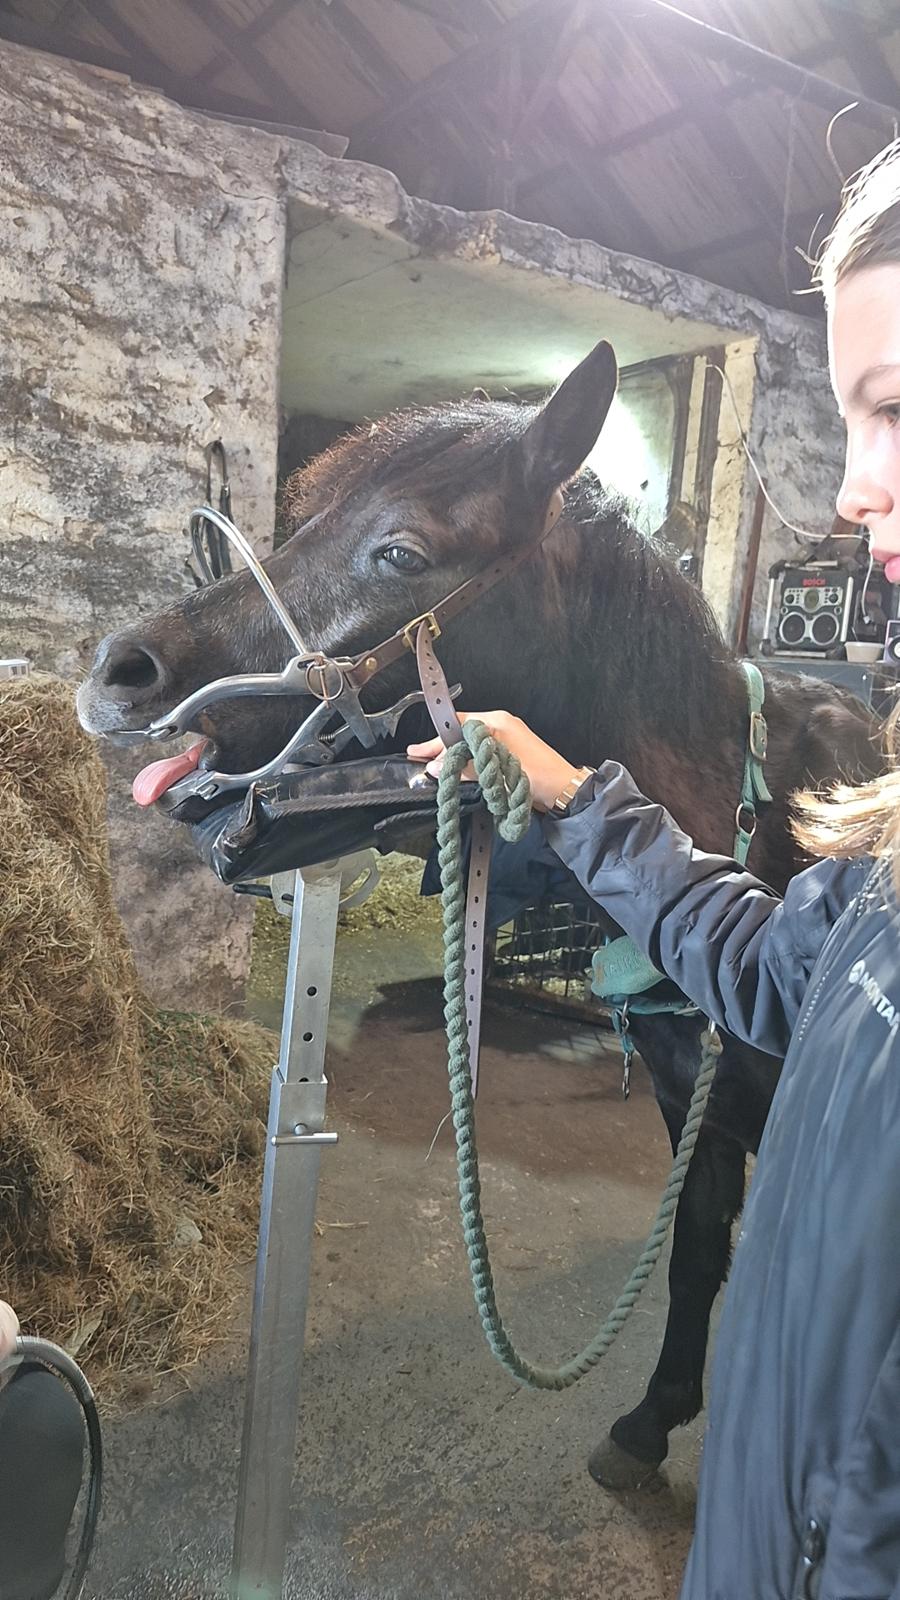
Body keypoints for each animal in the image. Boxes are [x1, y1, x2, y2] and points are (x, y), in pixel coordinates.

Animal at [78, 340, 880, 1487]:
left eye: (400, 551)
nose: (119, 671)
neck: (758, 836)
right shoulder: (693, 1100)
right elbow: (693, 1253)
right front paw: (650, 1419)